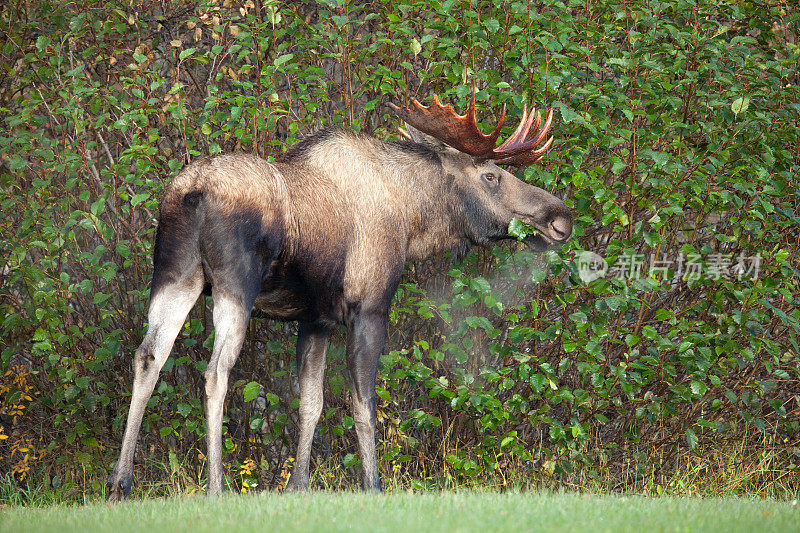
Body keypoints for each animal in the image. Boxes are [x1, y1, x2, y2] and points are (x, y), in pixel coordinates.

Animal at [106, 92, 572, 498]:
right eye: (490, 176)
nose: (561, 218)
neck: (413, 223)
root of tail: (192, 193)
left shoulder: (316, 320)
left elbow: (310, 403)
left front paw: (297, 486)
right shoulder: (369, 308)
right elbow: (362, 402)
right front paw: (373, 485)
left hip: (175, 275)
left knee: (148, 356)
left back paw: (120, 484)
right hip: (233, 286)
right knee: (216, 372)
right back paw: (215, 487)